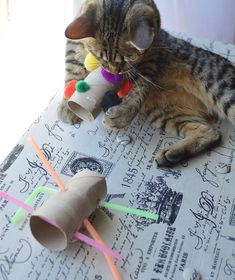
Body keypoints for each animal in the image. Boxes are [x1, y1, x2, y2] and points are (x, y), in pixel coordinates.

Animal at [57, 0, 235, 166]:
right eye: (100, 57)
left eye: (129, 59)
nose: (114, 72)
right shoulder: (74, 44)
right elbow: (73, 68)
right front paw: (67, 105)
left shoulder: (149, 59)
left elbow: (140, 89)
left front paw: (122, 114)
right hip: (166, 112)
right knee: (210, 133)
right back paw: (171, 155)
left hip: (221, 89)